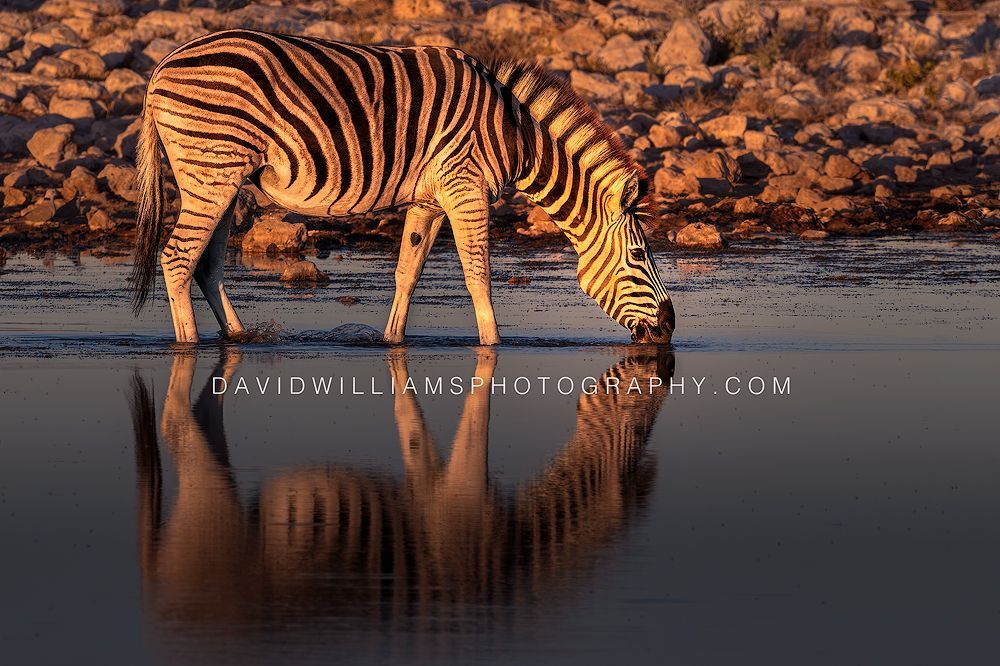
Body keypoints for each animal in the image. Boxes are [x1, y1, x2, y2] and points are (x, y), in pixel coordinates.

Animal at [131, 29, 676, 345]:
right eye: (639, 255)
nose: (670, 327)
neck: (514, 135)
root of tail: (160, 66)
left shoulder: (429, 199)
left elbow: (407, 272)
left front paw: (393, 342)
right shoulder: (465, 187)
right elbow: (478, 274)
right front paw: (493, 346)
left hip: (222, 178)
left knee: (205, 265)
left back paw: (238, 337)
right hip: (212, 170)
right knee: (176, 258)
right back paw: (186, 346)